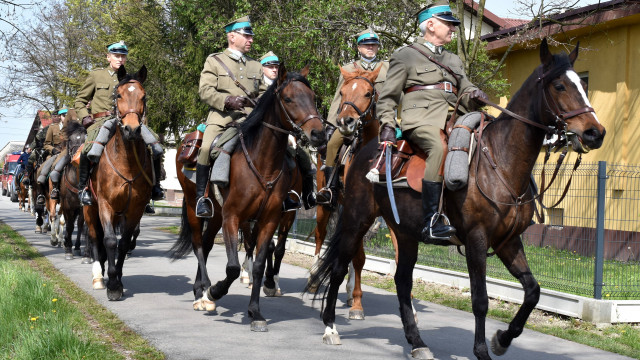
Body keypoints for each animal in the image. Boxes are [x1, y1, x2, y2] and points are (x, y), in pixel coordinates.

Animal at [84, 65, 154, 300]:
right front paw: (113, 284)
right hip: (89, 209)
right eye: (119, 95)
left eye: (144, 96)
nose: (131, 130)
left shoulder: (134, 208)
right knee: (94, 237)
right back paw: (98, 277)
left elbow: (123, 243)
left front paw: (118, 279)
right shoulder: (105, 204)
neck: (126, 162)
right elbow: (109, 240)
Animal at [170, 63, 324, 330]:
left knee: (207, 245)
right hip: (194, 208)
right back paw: (203, 292)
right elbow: (231, 267)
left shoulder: (271, 219)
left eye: (313, 97)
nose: (318, 134)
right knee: (198, 244)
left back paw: (201, 290)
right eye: (288, 99)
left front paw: (255, 311)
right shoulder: (233, 217)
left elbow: (263, 261)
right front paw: (215, 292)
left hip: (217, 215)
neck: (262, 163)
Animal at [304, 38, 604, 358]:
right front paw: (482, 350)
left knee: (401, 280)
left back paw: (417, 342)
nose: (595, 132)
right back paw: (331, 327)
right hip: (355, 220)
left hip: (404, 233)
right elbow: (480, 300)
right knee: (339, 266)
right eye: (559, 86)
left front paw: (503, 339)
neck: (500, 160)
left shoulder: (508, 241)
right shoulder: (476, 239)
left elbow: (533, 291)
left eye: (583, 84)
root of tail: (368, 149)